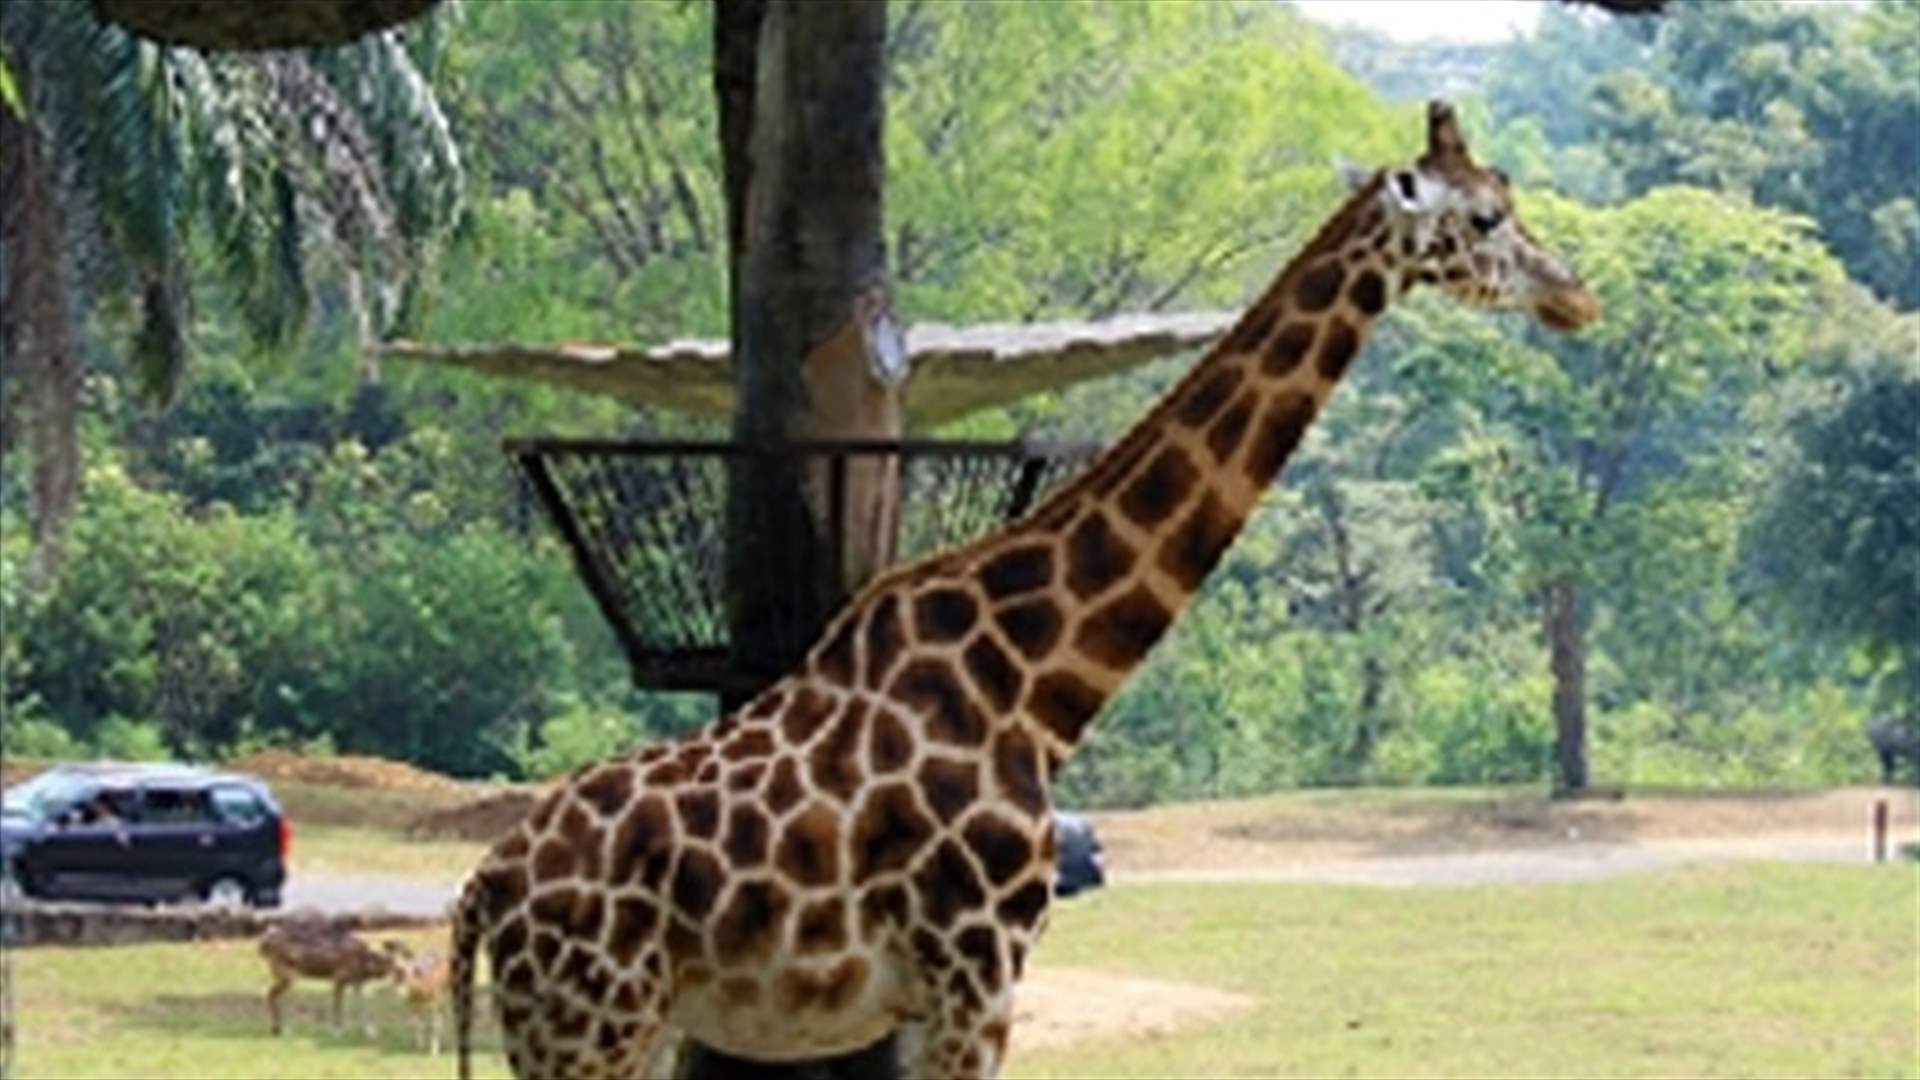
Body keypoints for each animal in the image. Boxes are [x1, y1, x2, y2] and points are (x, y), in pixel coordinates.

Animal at [450, 101, 1600, 1080]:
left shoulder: (948, 990)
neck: (1038, 685)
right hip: (587, 1027)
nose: (1577, 293)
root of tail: (485, 890)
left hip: (614, 1029)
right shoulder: (977, 972)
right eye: (1487, 215)